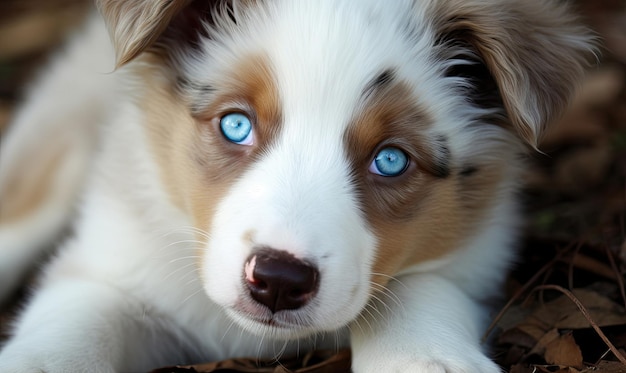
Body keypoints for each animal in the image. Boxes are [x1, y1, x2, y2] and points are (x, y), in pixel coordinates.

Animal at [0, 0, 592, 370]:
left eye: (391, 160)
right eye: (236, 125)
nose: (279, 281)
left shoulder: (474, 253)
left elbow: (414, 287)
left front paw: (423, 358)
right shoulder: (111, 263)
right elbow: (65, 335)